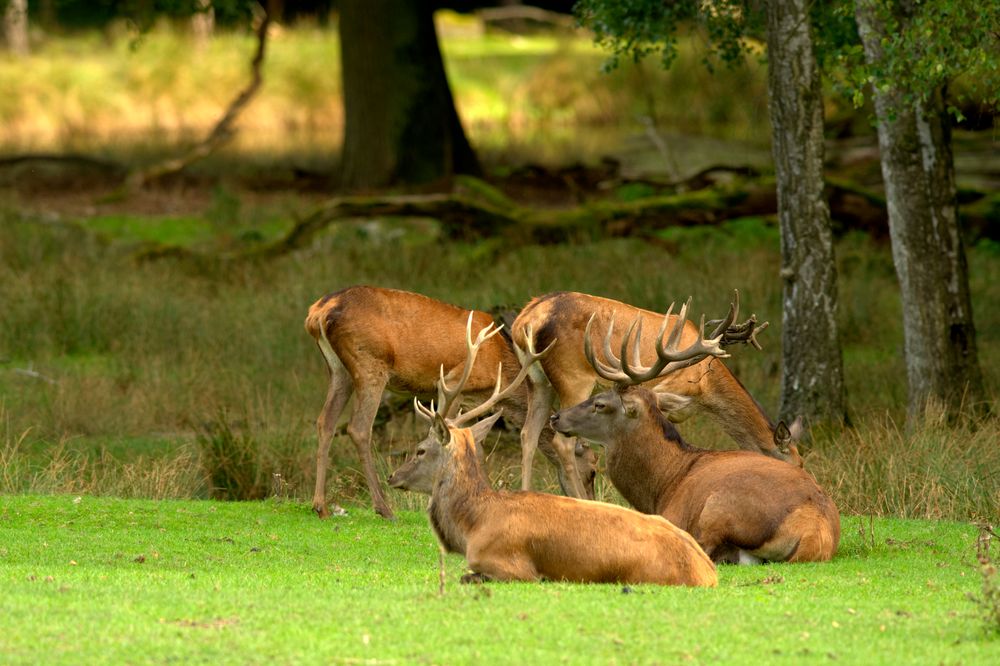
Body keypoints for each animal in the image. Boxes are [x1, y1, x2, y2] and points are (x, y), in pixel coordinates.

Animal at [304, 284, 596, 520]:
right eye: (593, 470)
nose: (592, 500)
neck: (500, 363)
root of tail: (317, 312)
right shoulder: (453, 384)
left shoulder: (474, 400)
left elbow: (476, 445)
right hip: (369, 363)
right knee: (358, 428)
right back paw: (384, 508)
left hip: (338, 369)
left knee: (324, 422)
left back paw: (321, 506)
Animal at [388, 316, 720, 588]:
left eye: (420, 450)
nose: (392, 476)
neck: (472, 525)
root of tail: (707, 572)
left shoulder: (509, 565)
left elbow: (469, 576)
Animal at [512, 290, 800, 492]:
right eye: (798, 463)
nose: (803, 478)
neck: (706, 386)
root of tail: (525, 320)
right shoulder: (664, 389)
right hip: (573, 376)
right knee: (562, 442)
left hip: (537, 380)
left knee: (528, 434)